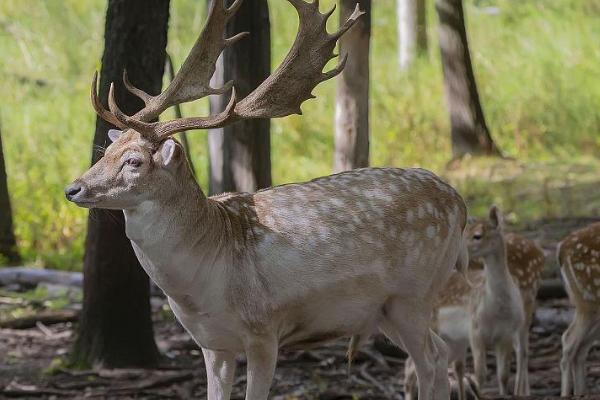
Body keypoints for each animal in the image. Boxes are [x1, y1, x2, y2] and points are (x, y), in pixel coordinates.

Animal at [64, 0, 468, 400]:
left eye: (134, 161)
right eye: (105, 151)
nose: (73, 189)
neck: (202, 286)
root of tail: (459, 203)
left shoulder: (264, 330)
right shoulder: (212, 344)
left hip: (413, 295)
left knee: (431, 359)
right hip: (384, 311)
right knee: (439, 354)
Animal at [404, 208, 528, 398]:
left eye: (478, 235)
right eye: (467, 231)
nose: (462, 251)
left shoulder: (505, 335)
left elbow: (503, 375)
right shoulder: (475, 330)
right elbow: (481, 374)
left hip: (453, 340)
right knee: (410, 368)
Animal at [556, 222, 600, 396]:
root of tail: (561, 248)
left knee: (579, 346)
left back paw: (581, 393)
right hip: (588, 299)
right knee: (569, 340)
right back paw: (567, 394)